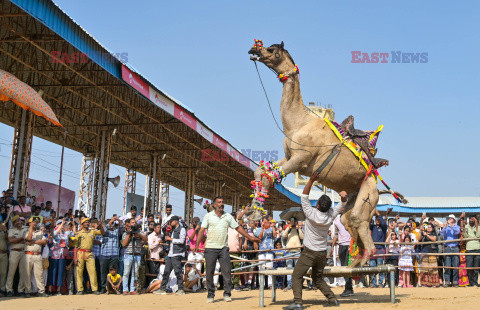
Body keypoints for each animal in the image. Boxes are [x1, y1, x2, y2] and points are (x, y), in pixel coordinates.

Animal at [248, 39, 394, 266]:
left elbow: (268, 177)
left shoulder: (300, 160)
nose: (254, 49)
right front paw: (249, 212)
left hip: (368, 197)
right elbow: (260, 172)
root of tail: (378, 186)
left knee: (363, 233)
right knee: (350, 224)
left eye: (273, 50)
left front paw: (254, 216)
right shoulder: (289, 156)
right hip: (354, 199)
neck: (298, 123)